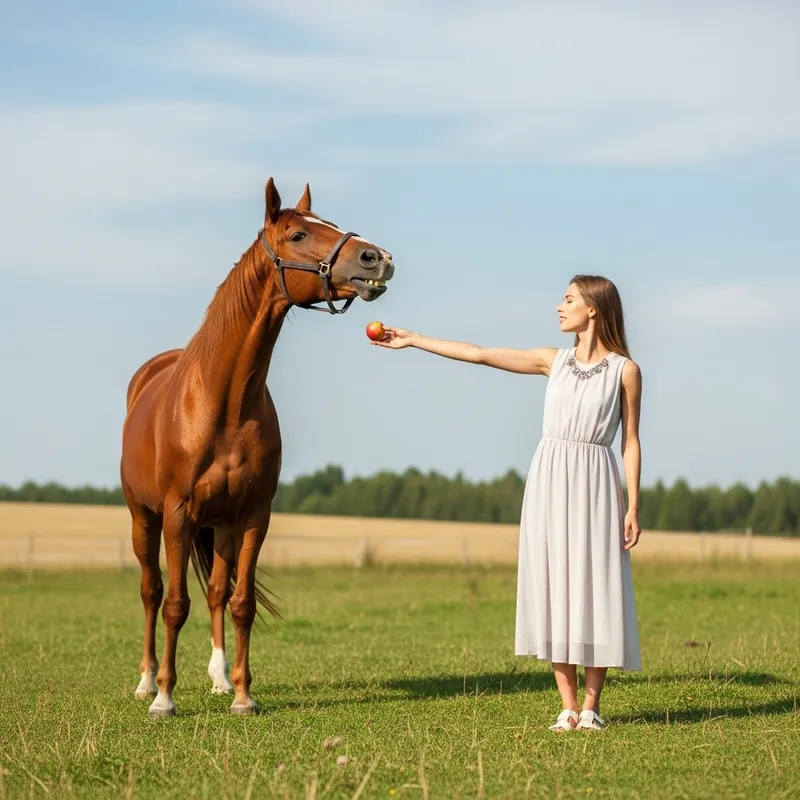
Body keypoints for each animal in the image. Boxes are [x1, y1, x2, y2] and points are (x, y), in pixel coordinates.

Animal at [120, 177, 395, 716]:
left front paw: (243, 695)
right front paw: (164, 698)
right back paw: (144, 681)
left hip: (220, 527)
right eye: (297, 234)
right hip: (145, 518)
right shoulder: (178, 514)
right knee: (150, 590)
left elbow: (240, 602)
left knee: (216, 593)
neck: (223, 402)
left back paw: (219, 679)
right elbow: (174, 604)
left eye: (329, 224)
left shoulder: (251, 517)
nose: (377, 258)